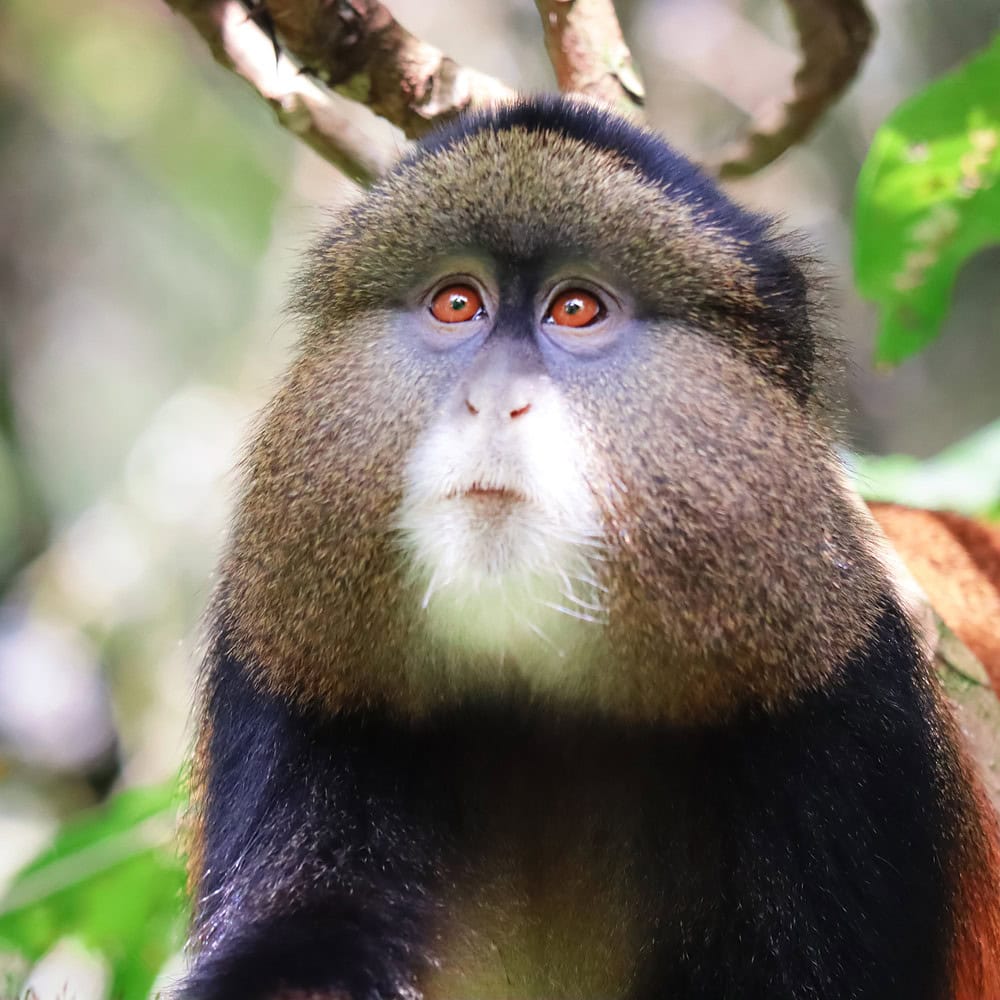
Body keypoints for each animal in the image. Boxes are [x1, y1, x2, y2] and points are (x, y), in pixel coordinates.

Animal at [181, 95, 1000, 1000]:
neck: (541, 699)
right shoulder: (294, 681)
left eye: (575, 310)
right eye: (456, 304)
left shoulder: (847, 708)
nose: (494, 400)